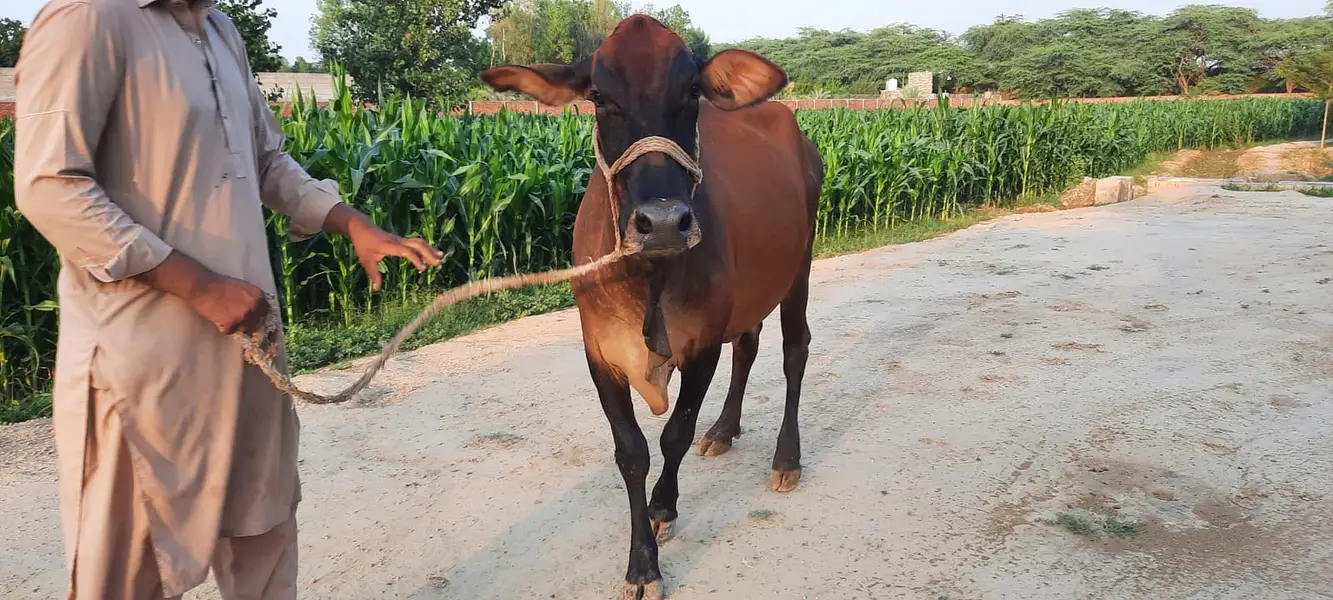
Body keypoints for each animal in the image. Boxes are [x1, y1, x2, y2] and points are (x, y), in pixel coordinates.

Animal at [481, 15, 823, 599]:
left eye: (691, 91)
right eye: (599, 96)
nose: (663, 222)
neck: (648, 277)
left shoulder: (702, 344)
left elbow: (674, 435)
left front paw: (663, 509)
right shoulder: (598, 353)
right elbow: (632, 452)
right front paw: (642, 562)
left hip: (798, 266)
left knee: (793, 351)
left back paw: (786, 457)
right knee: (749, 345)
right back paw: (724, 431)